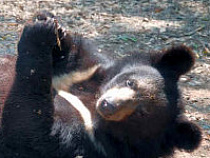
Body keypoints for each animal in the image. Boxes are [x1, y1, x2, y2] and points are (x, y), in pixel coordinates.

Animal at [0, 12, 202, 158]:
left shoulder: (89, 139)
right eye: (130, 82)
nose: (108, 105)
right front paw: (51, 24)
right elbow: (71, 57)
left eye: (141, 113)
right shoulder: (84, 71)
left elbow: (29, 126)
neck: (93, 99)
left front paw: (39, 33)